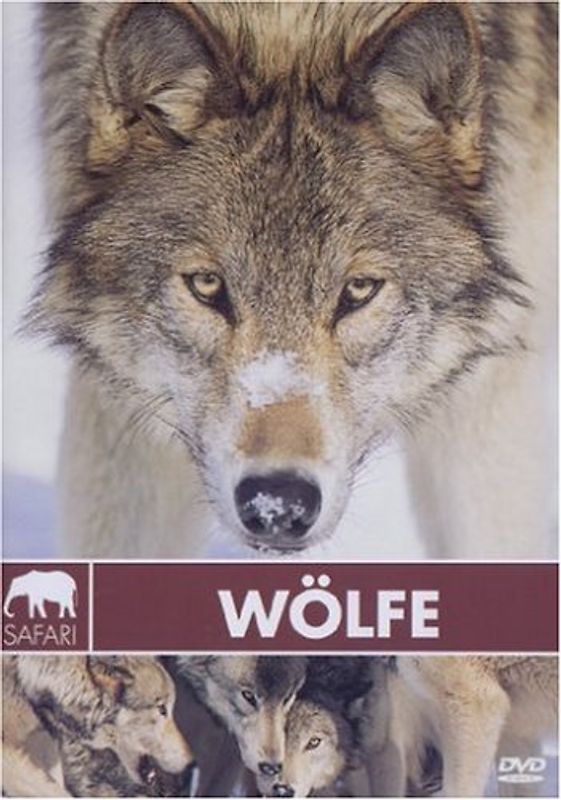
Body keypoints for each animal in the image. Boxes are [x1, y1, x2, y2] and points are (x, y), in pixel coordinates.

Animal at [32, 3, 557, 558]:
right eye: (207, 285)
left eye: (358, 291)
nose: (278, 503)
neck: (292, 22)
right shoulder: (123, 413)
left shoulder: (485, 396)